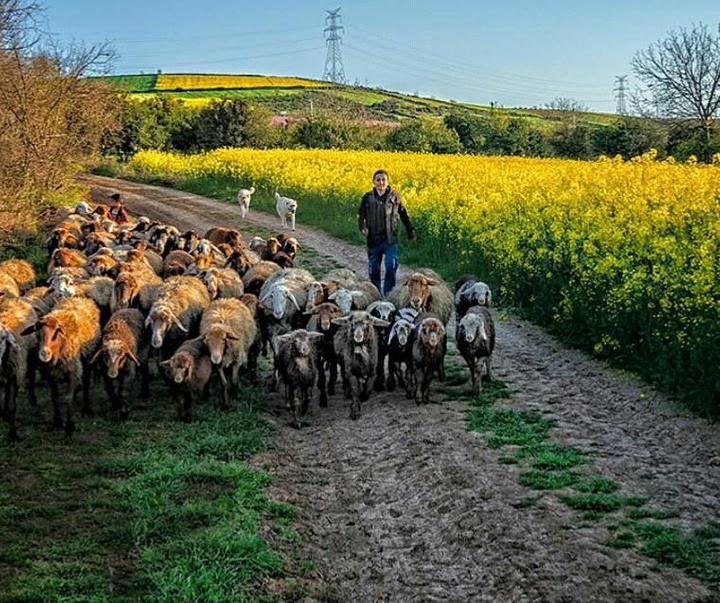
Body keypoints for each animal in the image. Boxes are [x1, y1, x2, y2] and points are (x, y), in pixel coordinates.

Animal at [0, 298, 38, 444]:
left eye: (3, 338)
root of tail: (16, 299)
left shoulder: (15, 376)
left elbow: (12, 406)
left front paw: (13, 435)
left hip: (31, 357)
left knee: (32, 376)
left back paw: (33, 400)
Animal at [21, 296, 101, 434]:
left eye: (56, 332)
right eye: (38, 333)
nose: (44, 353)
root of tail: (80, 298)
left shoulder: (73, 371)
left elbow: (68, 398)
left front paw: (69, 427)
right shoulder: (50, 374)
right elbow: (55, 397)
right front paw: (57, 422)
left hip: (88, 358)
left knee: (86, 382)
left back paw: (86, 409)